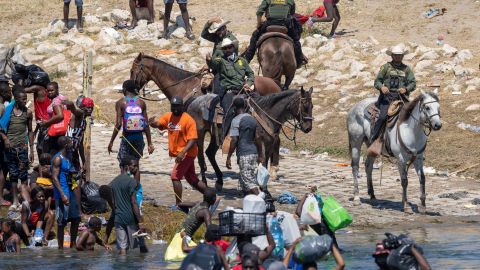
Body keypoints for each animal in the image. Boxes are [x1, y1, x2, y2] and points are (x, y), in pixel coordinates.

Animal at [129, 52, 284, 188]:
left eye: (133, 70)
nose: (132, 89)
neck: (185, 87)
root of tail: (275, 84)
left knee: (275, 140)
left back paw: (273, 170)